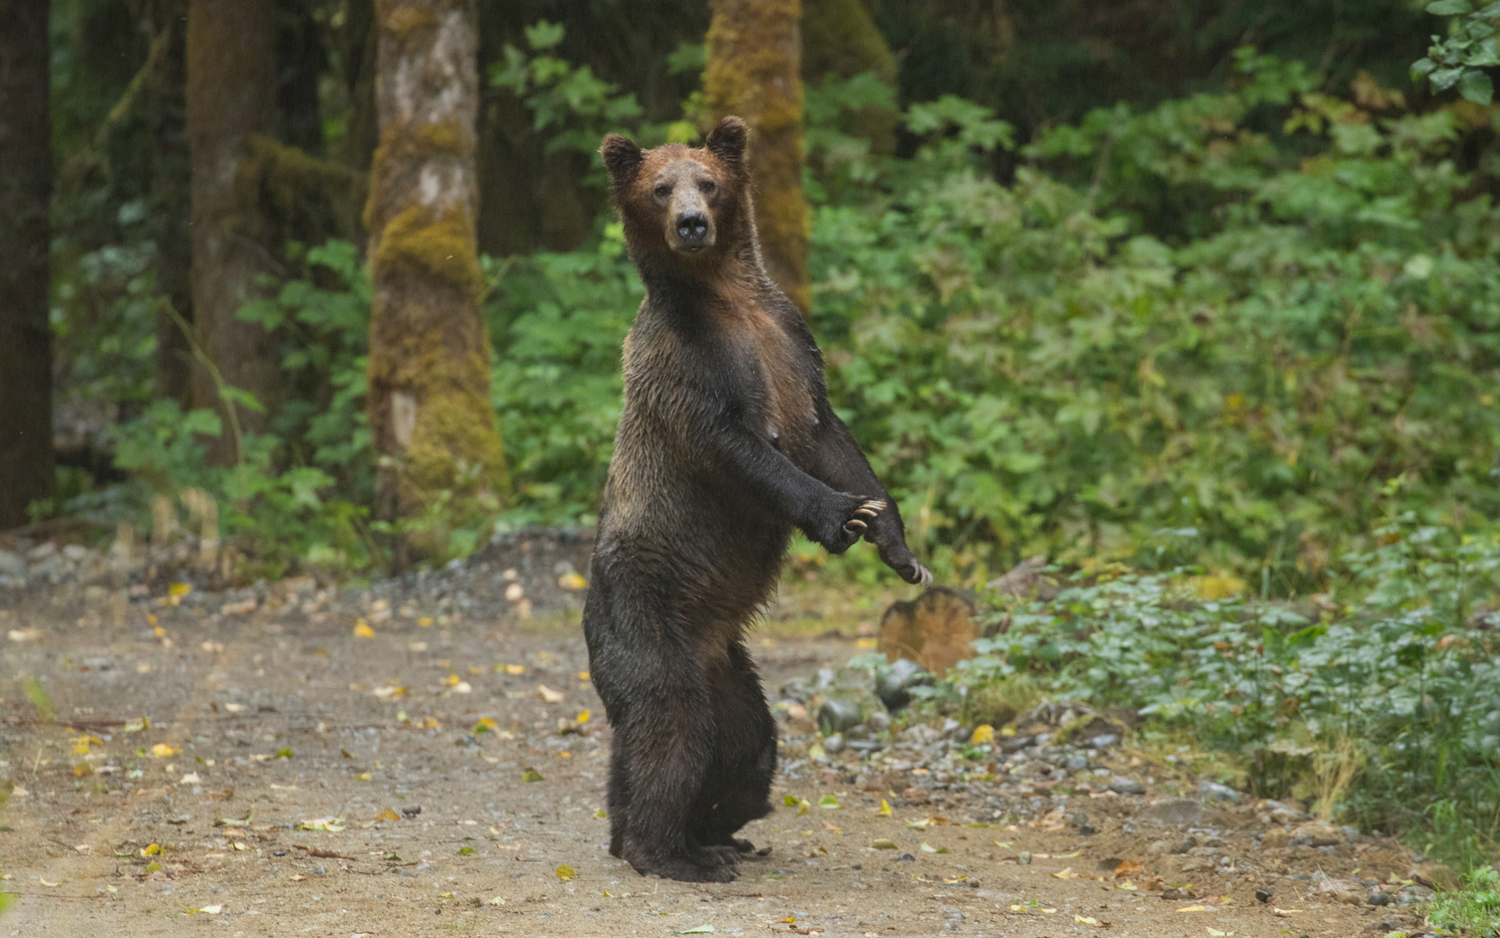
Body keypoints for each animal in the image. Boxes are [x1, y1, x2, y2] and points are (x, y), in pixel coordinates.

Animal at [583, 115, 931, 884]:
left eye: (708, 181)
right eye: (660, 187)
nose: (691, 222)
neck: (723, 297)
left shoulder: (791, 346)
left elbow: (829, 434)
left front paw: (893, 540)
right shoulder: (689, 366)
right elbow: (741, 450)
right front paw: (841, 515)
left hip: (729, 667)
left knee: (748, 746)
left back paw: (710, 834)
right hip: (643, 610)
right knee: (670, 718)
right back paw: (667, 850)